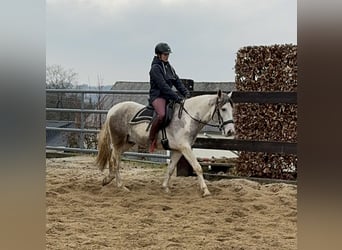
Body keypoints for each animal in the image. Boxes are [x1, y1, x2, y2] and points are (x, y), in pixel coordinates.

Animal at [95, 90, 235, 197]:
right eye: (223, 109)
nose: (230, 131)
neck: (187, 119)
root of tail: (112, 110)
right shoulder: (185, 148)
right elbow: (197, 167)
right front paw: (205, 191)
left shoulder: (178, 150)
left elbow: (171, 168)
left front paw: (165, 188)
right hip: (118, 142)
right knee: (115, 160)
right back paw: (120, 186)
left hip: (127, 143)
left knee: (114, 158)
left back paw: (108, 179)